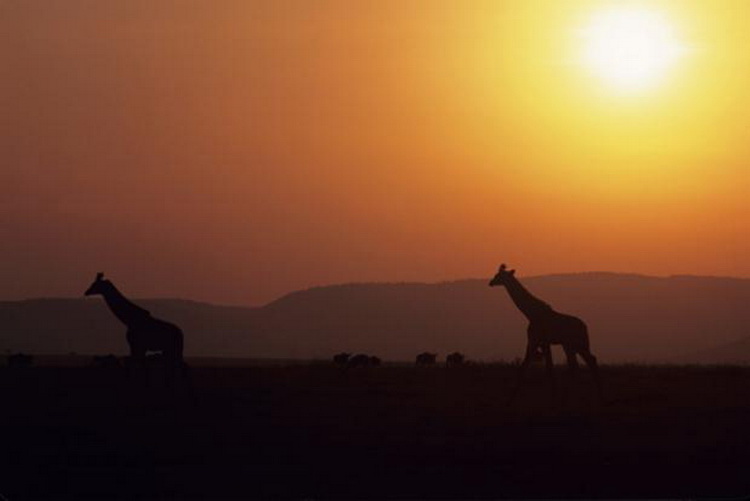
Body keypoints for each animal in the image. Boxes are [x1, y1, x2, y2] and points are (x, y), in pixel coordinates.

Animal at [490, 266, 604, 398]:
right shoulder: (534, 342)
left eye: (499, 276)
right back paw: (568, 394)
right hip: (568, 345)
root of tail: (585, 327)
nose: (491, 282)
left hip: (579, 344)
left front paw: (553, 395)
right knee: (575, 365)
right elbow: (525, 366)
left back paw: (598, 394)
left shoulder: (541, 341)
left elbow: (547, 368)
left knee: (590, 360)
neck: (531, 314)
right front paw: (512, 395)